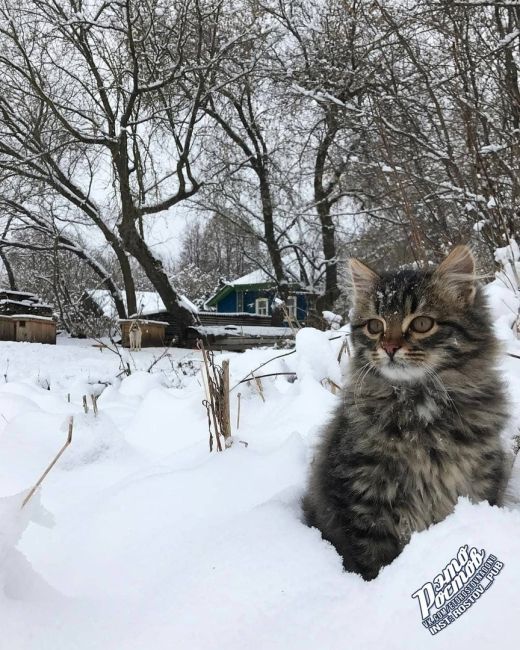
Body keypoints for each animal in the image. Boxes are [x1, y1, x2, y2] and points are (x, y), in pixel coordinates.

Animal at [302, 246, 510, 580]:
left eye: (422, 324)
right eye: (375, 326)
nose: (389, 347)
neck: (419, 407)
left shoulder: (479, 482)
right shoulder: (363, 499)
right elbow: (372, 560)